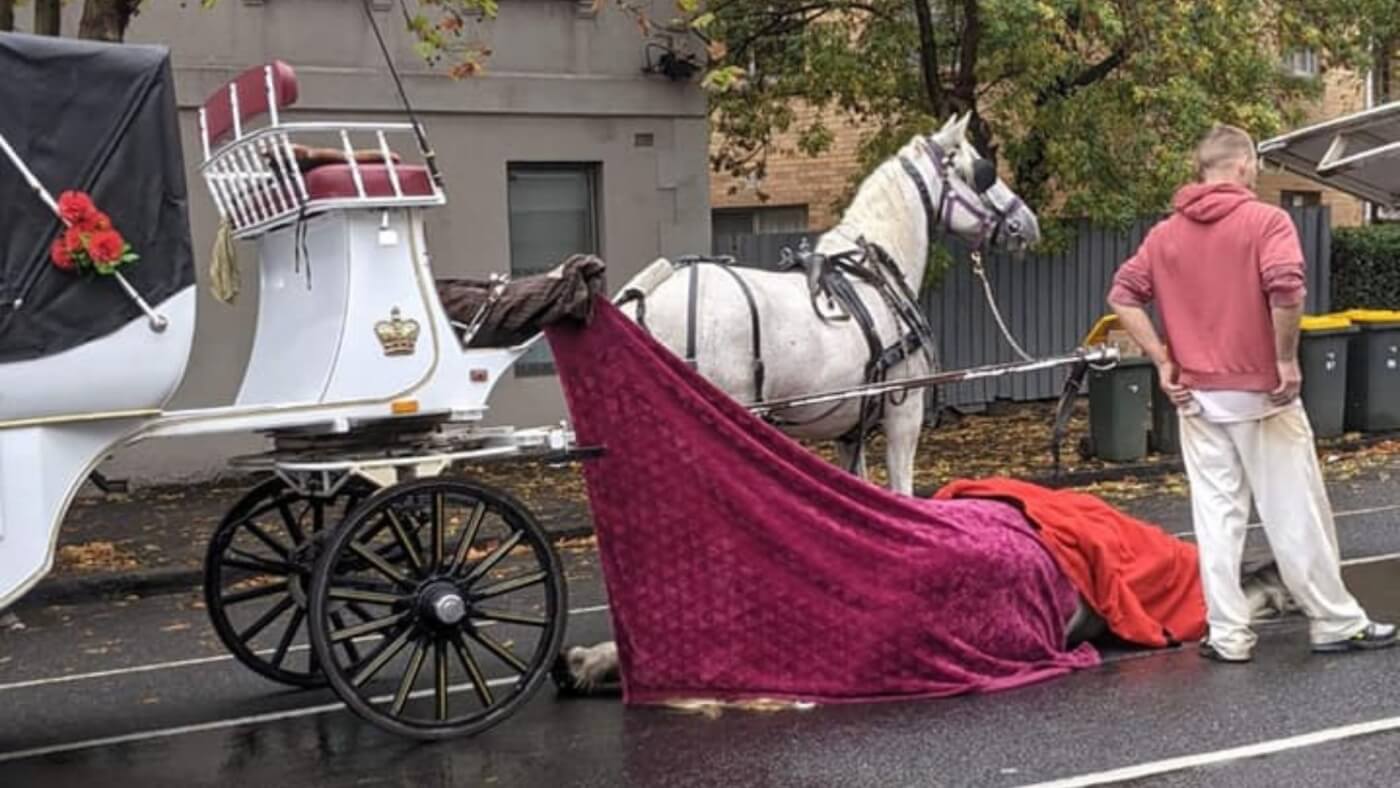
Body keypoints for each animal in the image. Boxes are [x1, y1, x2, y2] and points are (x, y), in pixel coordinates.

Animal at [618, 112, 1047, 492]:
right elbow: (901, 493)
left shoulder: (849, 428)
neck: (874, 271)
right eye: (981, 171)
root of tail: (642, 302)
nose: (1027, 223)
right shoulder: (904, 415)